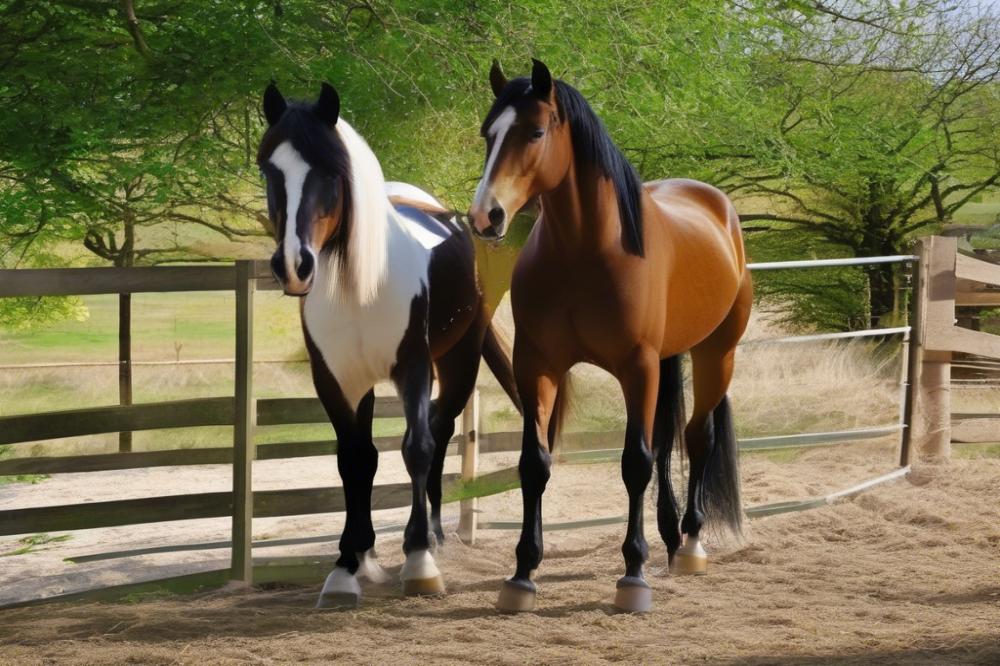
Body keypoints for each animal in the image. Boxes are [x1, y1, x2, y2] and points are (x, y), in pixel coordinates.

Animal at [258, 81, 520, 608]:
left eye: (330, 172)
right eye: (270, 169)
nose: (294, 265)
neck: (360, 285)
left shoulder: (412, 367)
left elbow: (417, 447)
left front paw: (419, 562)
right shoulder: (336, 380)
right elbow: (354, 460)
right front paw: (348, 565)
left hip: (458, 362)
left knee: (439, 431)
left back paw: (434, 538)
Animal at [468, 62, 752, 612]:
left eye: (535, 132)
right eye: (488, 134)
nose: (485, 217)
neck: (585, 251)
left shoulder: (636, 366)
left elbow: (634, 464)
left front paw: (633, 575)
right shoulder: (537, 365)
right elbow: (535, 464)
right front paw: (522, 573)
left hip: (716, 355)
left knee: (696, 438)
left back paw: (689, 544)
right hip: (669, 361)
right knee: (666, 443)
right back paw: (669, 538)